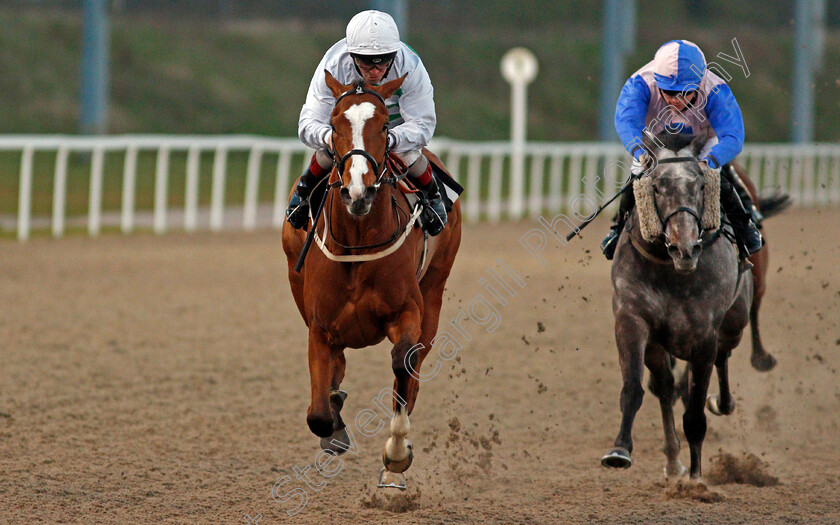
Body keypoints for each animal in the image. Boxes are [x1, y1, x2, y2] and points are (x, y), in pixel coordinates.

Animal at [284, 70, 466, 488]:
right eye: (334, 125)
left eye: (384, 126)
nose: (358, 191)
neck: (357, 243)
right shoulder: (319, 326)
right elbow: (319, 413)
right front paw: (334, 425)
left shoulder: (408, 311)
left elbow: (402, 365)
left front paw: (396, 455)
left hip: (434, 291)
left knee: (412, 373)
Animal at [600, 132, 756, 484]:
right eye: (657, 187)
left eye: (700, 186)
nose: (685, 248)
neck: (672, 271)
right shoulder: (633, 321)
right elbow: (634, 388)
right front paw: (620, 450)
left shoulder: (704, 336)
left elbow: (695, 413)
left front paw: (697, 480)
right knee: (664, 388)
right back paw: (673, 461)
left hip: (735, 322)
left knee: (724, 357)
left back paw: (723, 403)